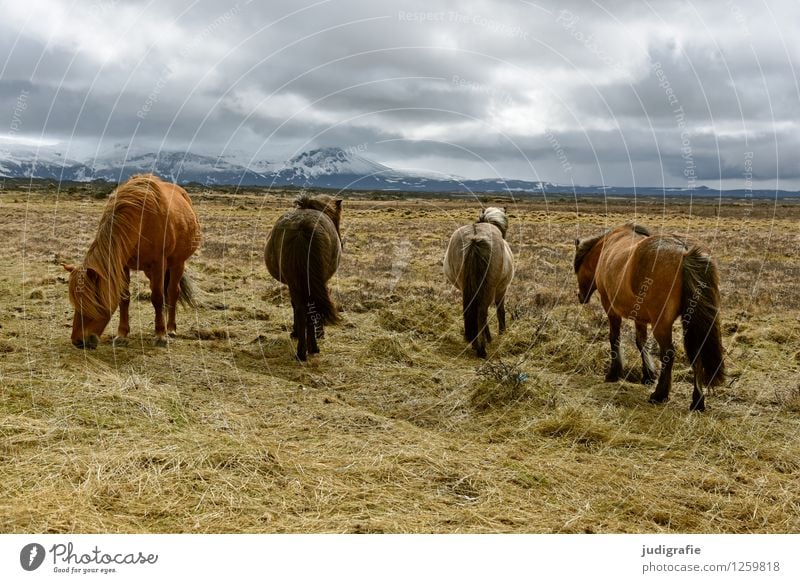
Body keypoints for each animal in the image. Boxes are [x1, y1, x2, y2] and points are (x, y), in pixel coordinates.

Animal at [64, 172, 202, 346]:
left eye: (92, 301)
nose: (78, 341)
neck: (142, 221)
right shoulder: (123, 265)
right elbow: (124, 298)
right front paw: (122, 334)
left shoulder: (158, 264)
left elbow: (157, 297)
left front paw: (161, 335)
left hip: (177, 263)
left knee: (172, 292)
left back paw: (170, 329)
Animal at [264, 195, 342, 360]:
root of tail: (302, 227)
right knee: (307, 308)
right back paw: (311, 348)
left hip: (296, 282)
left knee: (301, 308)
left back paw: (302, 350)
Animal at [440, 208, 516, 358]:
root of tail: (475, 238)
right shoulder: (501, 290)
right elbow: (500, 310)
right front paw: (501, 333)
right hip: (490, 289)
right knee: (482, 312)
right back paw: (481, 349)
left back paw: (475, 343)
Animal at [576, 222, 724, 410]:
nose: (580, 296)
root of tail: (685, 251)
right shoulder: (640, 317)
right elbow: (641, 342)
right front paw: (647, 375)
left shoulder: (610, 308)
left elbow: (614, 338)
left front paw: (614, 373)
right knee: (696, 353)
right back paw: (697, 401)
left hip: (661, 324)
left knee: (668, 353)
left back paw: (659, 394)